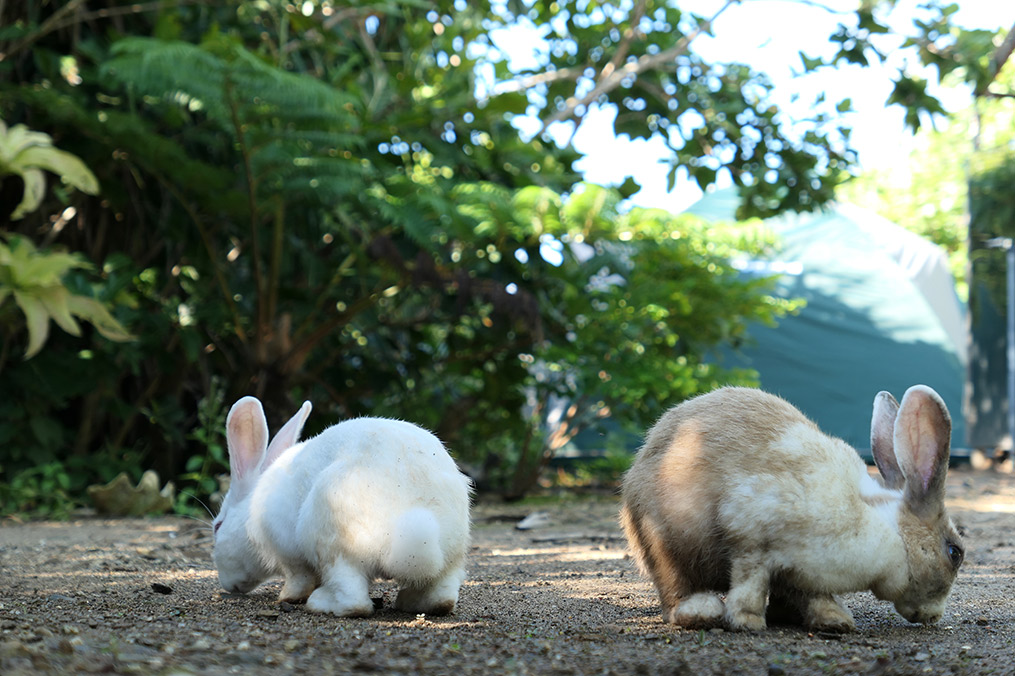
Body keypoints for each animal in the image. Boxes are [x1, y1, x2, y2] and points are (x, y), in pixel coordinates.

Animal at [214, 395, 475, 617]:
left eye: (218, 525)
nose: (228, 585)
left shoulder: (288, 552)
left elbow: (299, 578)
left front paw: (287, 597)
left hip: (335, 543)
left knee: (354, 601)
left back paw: (320, 603)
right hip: (451, 558)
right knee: (441, 596)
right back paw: (412, 603)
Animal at [617, 383, 966, 633]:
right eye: (955, 553)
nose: (933, 617)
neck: (885, 531)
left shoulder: (802, 572)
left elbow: (811, 595)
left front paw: (835, 621)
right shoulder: (751, 539)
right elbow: (750, 584)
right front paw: (748, 622)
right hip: (664, 539)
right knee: (673, 589)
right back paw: (701, 611)